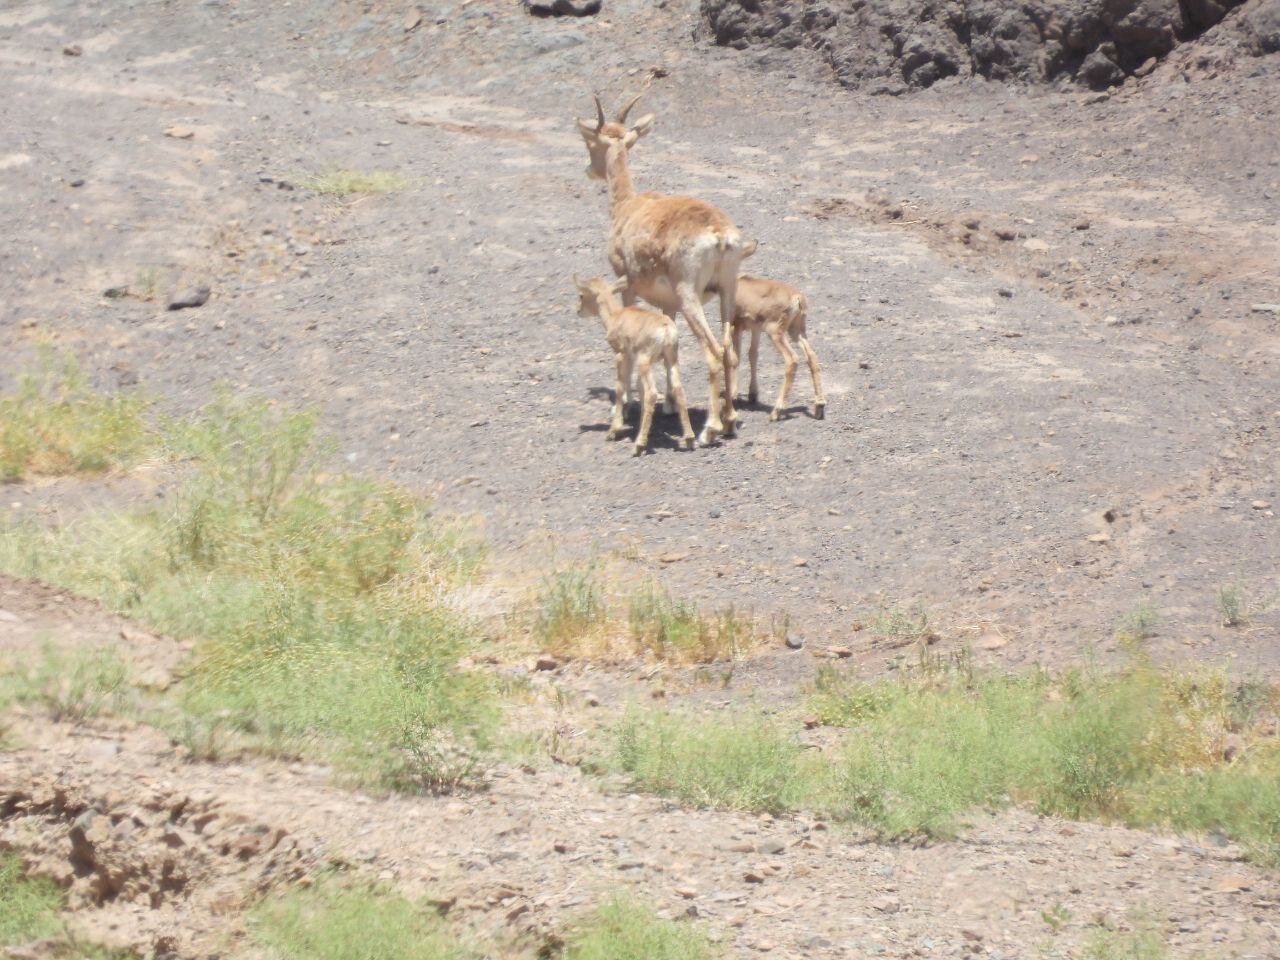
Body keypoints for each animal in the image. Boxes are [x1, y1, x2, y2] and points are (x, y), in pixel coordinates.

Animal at [576, 273, 696, 455]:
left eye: (582, 295)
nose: (578, 310)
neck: (616, 316)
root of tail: (666, 328)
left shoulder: (621, 356)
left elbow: (620, 389)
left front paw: (613, 430)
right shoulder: (633, 360)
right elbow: (638, 389)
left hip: (644, 361)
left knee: (652, 393)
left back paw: (639, 445)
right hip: (670, 360)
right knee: (678, 389)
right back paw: (689, 439)